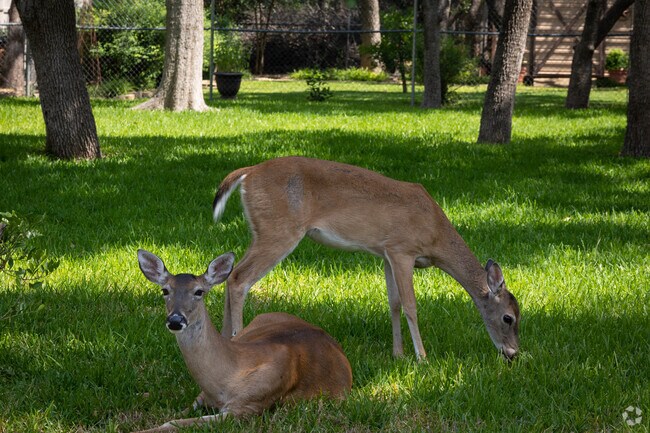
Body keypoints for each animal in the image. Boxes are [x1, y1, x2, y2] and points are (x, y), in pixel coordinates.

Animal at [135, 249, 352, 432]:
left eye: (199, 291)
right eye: (165, 290)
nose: (175, 320)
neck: (225, 380)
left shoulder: (248, 406)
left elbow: (173, 423)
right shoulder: (203, 395)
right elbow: (179, 413)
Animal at [212, 156, 520, 361]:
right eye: (508, 318)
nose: (513, 353)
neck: (436, 233)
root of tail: (248, 172)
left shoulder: (385, 253)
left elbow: (393, 303)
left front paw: (398, 354)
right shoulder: (402, 249)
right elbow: (410, 305)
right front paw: (422, 357)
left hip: (263, 231)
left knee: (231, 275)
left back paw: (224, 340)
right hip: (280, 230)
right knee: (240, 279)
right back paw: (238, 339)